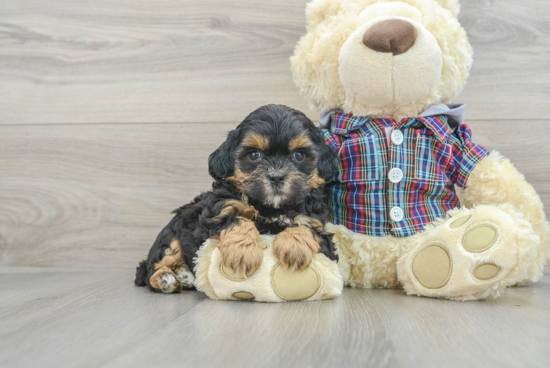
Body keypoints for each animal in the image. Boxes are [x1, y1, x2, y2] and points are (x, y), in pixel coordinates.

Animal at [135, 103, 340, 294]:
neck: (270, 207)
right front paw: (243, 253)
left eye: (298, 155)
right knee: (152, 267)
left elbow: (307, 228)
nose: (276, 176)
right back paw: (166, 278)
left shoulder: (318, 226)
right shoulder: (215, 215)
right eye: (254, 154)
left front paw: (294, 248)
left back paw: (184, 276)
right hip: (172, 236)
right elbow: (237, 220)